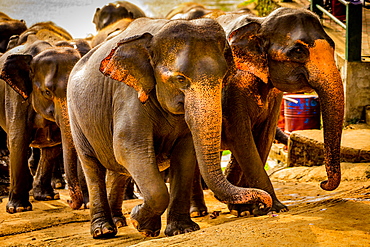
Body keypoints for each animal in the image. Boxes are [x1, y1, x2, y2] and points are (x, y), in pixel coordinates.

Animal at [66, 17, 272, 239]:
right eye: (180, 79)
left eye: (224, 76)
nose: (265, 203)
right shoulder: (128, 95)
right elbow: (128, 147)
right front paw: (138, 220)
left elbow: (185, 154)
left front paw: (181, 229)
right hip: (76, 118)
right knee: (92, 166)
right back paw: (104, 231)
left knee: (118, 171)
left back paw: (121, 222)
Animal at [191, 6, 344, 217]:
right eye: (298, 51)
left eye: (332, 45)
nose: (323, 183)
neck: (261, 22)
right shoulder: (232, 85)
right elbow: (240, 137)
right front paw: (275, 207)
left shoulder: (274, 95)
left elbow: (264, 137)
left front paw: (245, 209)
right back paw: (197, 211)